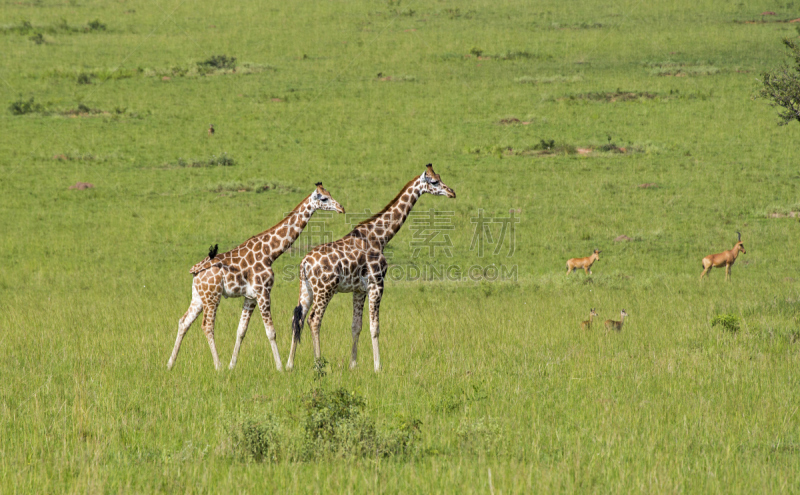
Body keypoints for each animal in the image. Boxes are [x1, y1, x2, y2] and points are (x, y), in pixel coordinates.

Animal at [166, 185, 344, 372]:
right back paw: (218, 366)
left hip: (198, 296)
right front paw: (280, 367)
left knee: (184, 322)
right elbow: (271, 332)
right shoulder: (263, 292)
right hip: (212, 296)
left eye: (329, 194)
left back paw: (170, 364)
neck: (270, 252)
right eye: (324, 198)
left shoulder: (250, 297)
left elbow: (241, 331)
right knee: (207, 326)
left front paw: (232, 365)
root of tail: (195, 272)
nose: (341, 208)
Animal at [286, 165, 456, 374]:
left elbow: (356, 326)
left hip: (306, 289)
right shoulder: (377, 284)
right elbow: (374, 327)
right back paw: (319, 365)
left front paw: (353, 364)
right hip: (325, 289)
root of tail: (305, 263)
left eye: (439, 177)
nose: (452, 192)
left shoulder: (359, 290)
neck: (380, 237)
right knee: (314, 319)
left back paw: (289, 364)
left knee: (298, 319)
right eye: (434, 182)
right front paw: (378, 366)